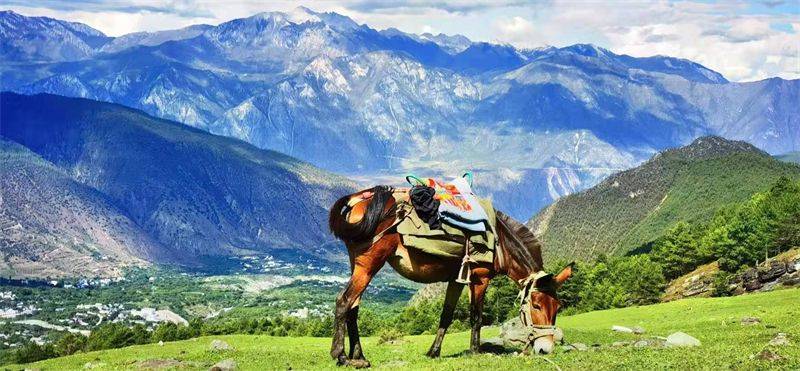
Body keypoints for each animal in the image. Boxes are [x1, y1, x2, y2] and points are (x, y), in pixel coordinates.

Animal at [328, 186, 572, 370]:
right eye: (537, 305)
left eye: (558, 307)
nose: (545, 349)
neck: (500, 242)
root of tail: (361, 197)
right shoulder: (480, 279)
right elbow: (476, 317)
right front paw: (475, 351)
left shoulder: (456, 280)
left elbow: (446, 315)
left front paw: (434, 352)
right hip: (369, 265)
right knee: (344, 301)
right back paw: (341, 356)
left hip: (359, 265)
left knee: (353, 308)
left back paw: (359, 357)